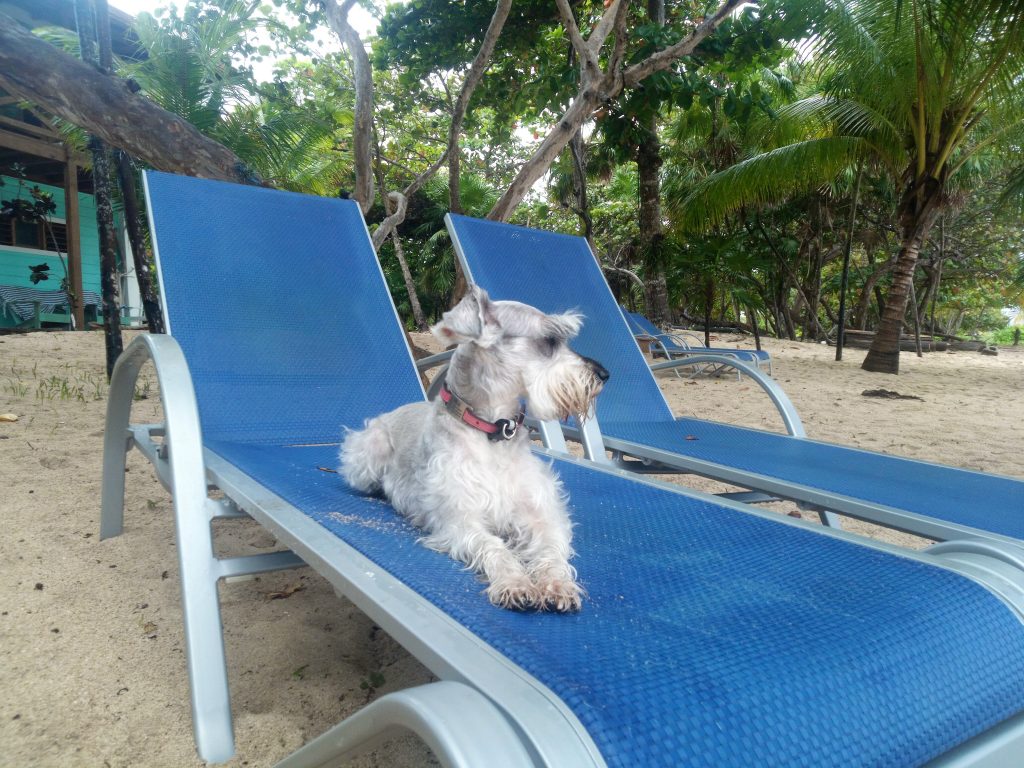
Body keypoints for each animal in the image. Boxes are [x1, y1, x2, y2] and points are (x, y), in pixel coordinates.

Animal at [335, 286, 606, 614]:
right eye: (552, 340)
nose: (604, 374)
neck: (493, 433)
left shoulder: (542, 515)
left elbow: (552, 549)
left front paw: (557, 584)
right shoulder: (459, 520)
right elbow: (494, 546)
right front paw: (514, 582)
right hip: (367, 456)